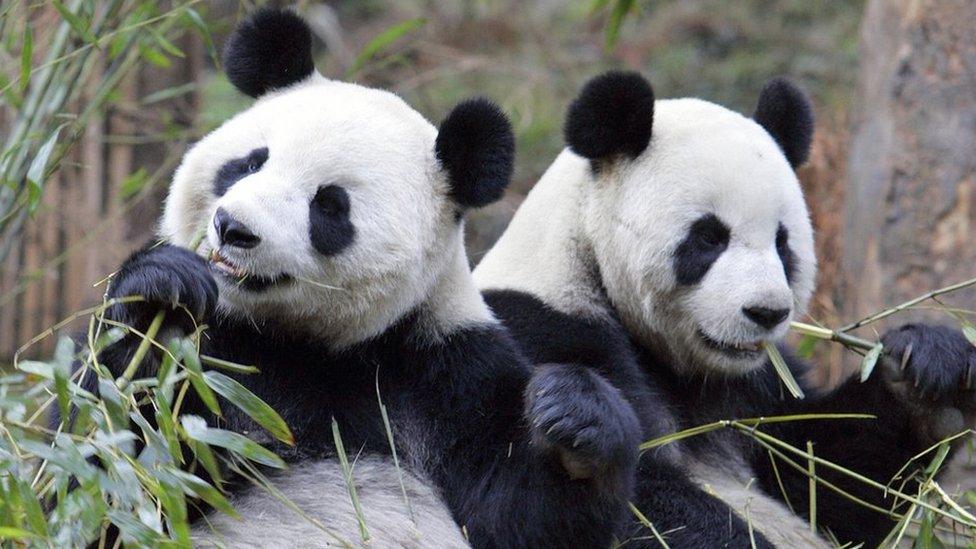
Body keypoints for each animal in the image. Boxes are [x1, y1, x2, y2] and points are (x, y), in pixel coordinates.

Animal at [84, 13, 644, 548]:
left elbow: (521, 516)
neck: (296, 342)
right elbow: (109, 464)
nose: (233, 228)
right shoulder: (217, 359)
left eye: (329, 206)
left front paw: (577, 418)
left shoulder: (445, 373)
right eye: (248, 163)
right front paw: (159, 294)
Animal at [476, 70, 976, 544]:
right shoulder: (540, 327)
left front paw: (928, 372)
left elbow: (828, 480)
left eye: (782, 242)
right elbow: (610, 507)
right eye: (709, 237)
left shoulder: (759, 387)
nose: (766, 313)